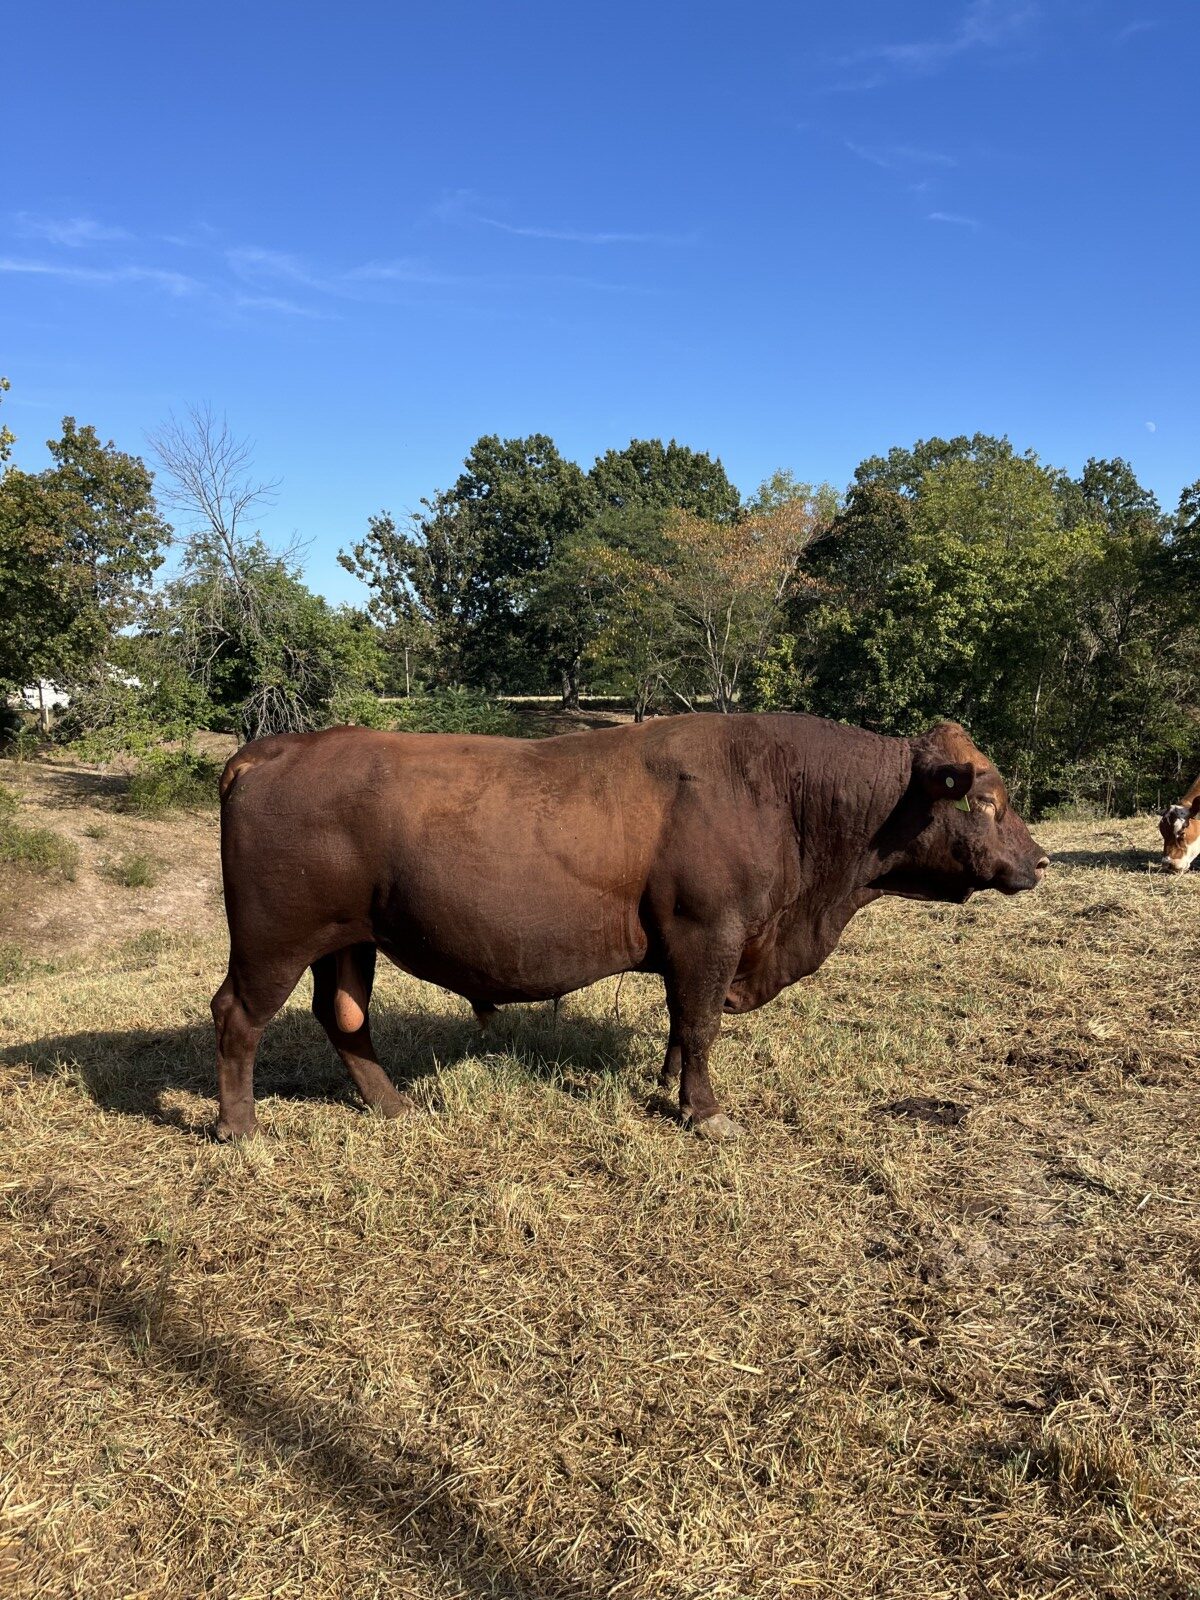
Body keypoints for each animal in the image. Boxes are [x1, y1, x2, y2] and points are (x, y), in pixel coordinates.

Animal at [212, 713, 1049, 1143]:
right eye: (985, 800)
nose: (1040, 860)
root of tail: (272, 748)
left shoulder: (693, 948)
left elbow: (681, 1021)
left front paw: (665, 1084)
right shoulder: (711, 932)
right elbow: (703, 1024)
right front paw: (706, 1114)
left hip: (349, 939)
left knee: (344, 1016)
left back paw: (393, 1106)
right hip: (273, 940)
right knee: (239, 1017)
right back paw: (240, 1126)